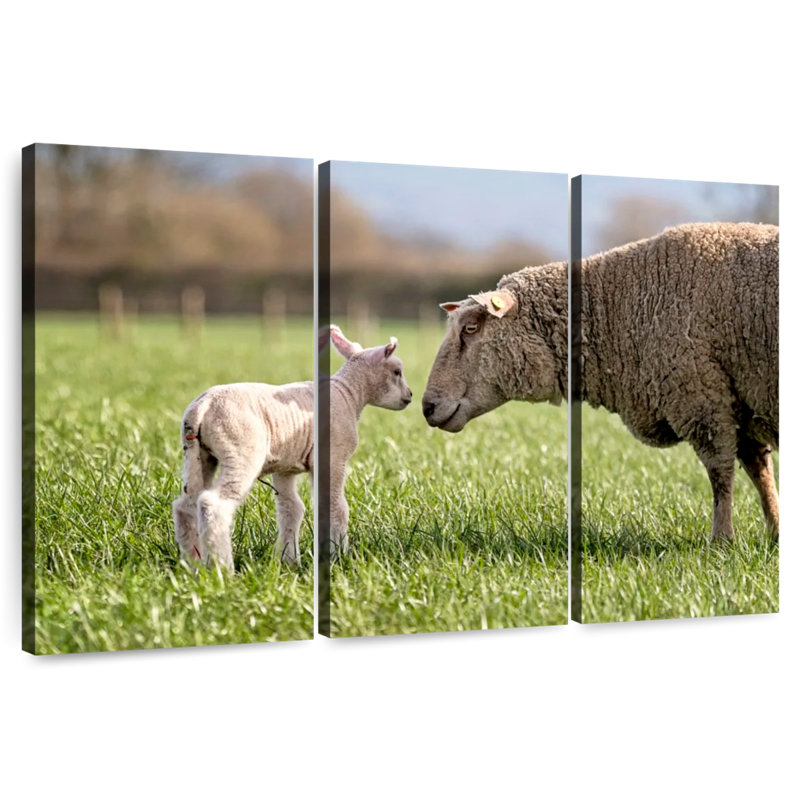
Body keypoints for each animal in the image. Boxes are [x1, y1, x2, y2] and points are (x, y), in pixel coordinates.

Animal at [172, 325, 412, 569]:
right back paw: (222, 568)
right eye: (397, 372)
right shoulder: (334, 456)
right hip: (241, 450)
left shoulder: (285, 467)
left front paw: (289, 560)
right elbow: (336, 506)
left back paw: (191, 564)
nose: (410, 396)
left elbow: (292, 509)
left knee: (186, 505)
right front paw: (339, 556)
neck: (349, 393)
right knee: (213, 504)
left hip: (197, 454)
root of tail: (203, 406)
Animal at [423, 221, 778, 542]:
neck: (618, 308)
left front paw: (722, 541)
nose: (427, 406)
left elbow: (721, 474)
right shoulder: (739, 401)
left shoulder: (703, 399)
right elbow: (759, 471)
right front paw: (775, 532)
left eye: (471, 328)